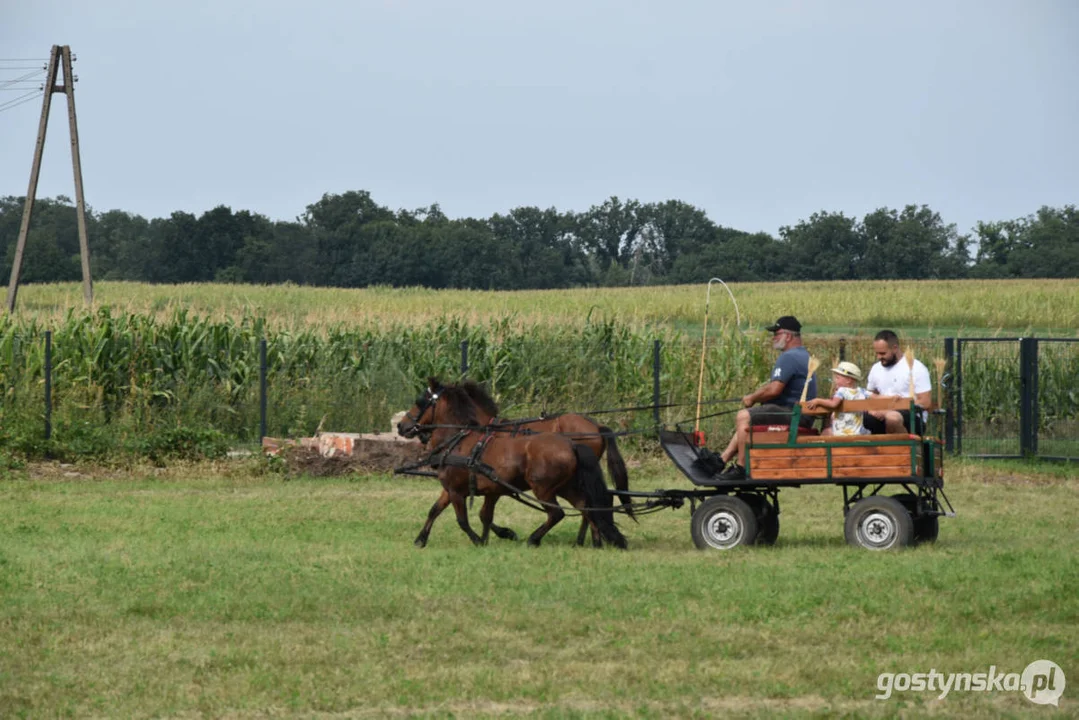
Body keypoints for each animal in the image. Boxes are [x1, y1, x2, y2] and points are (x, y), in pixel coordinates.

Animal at [401, 379, 630, 548]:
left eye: (420, 401)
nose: (401, 426)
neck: (461, 439)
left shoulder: (459, 490)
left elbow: (464, 520)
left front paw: (483, 539)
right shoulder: (467, 489)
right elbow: (438, 510)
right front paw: (421, 539)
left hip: (543, 488)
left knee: (558, 513)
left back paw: (536, 539)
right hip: (567, 486)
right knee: (586, 506)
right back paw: (593, 541)